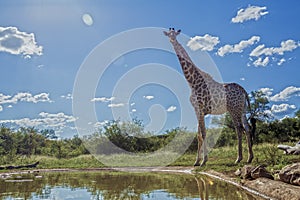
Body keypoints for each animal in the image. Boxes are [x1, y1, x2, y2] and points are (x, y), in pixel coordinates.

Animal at [164, 27, 255, 166]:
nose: (172, 40)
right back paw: (250, 158)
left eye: (175, 34)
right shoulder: (198, 111)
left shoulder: (199, 109)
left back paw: (238, 158)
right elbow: (198, 135)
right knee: (247, 128)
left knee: (239, 129)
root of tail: (244, 91)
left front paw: (203, 161)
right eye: (169, 34)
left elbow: (203, 133)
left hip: (233, 109)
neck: (192, 82)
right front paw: (196, 161)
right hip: (242, 110)